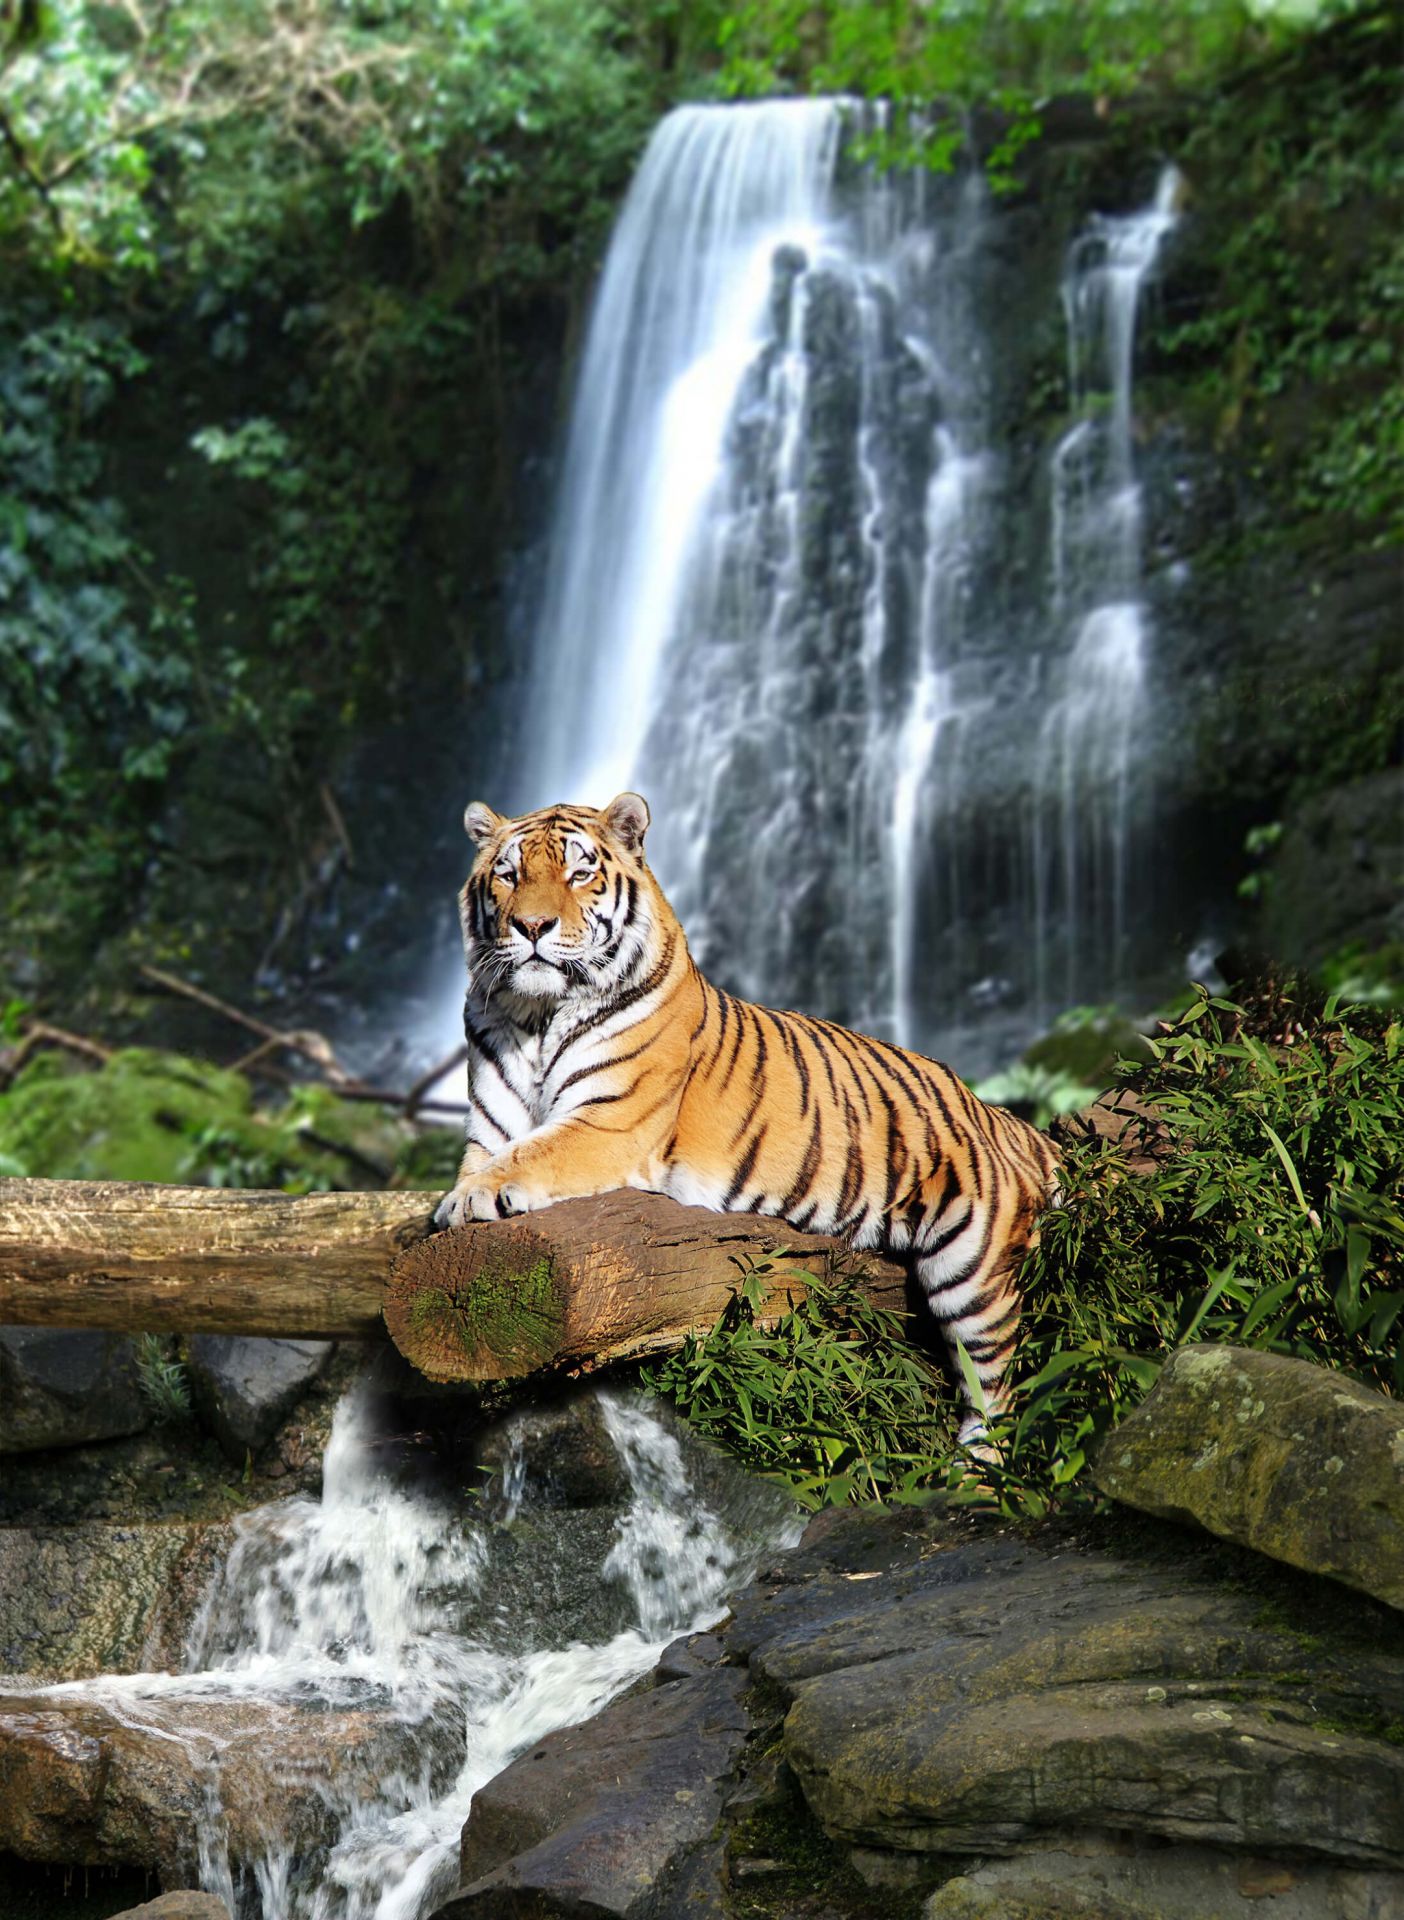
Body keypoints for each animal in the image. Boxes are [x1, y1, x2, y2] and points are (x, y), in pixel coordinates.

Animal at [435, 791, 1059, 1445]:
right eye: (509, 875)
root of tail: (995, 1114)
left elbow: (533, 1153)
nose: (532, 927)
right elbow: (500, 1154)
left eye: (580, 873)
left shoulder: (609, 1121)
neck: (535, 1013)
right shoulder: (490, 1130)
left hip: (974, 1265)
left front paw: (465, 1201)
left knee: (995, 1390)